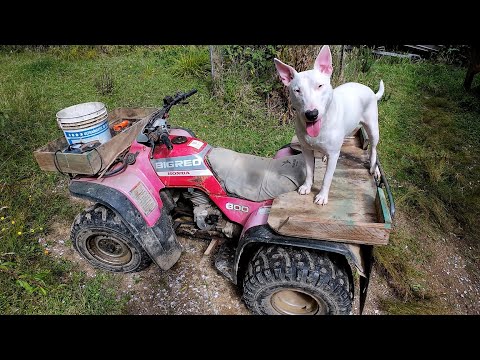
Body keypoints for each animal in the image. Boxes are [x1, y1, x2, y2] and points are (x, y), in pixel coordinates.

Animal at [276, 45, 384, 205]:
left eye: (320, 85)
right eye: (297, 90)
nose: (311, 114)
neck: (322, 125)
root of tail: (370, 91)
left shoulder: (334, 154)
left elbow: (327, 177)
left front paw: (321, 196)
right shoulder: (306, 150)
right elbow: (309, 170)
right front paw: (306, 187)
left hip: (372, 128)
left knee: (374, 148)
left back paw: (373, 167)